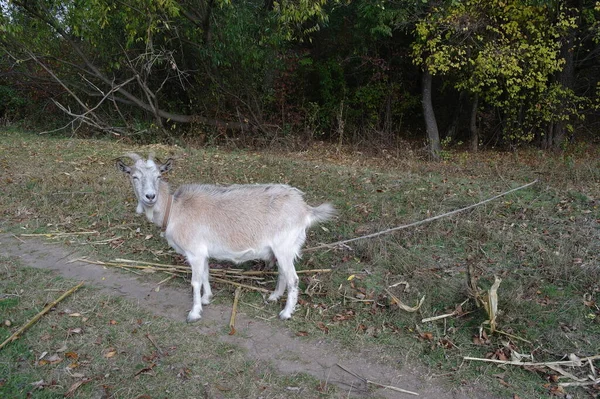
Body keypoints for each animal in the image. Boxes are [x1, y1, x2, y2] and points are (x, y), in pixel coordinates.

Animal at [117, 153, 332, 322]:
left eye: (159, 175)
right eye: (134, 176)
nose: (150, 196)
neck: (175, 210)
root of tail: (305, 209)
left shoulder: (194, 252)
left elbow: (195, 282)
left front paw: (194, 313)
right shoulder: (202, 252)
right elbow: (205, 274)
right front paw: (207, 298)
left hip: (285, 246)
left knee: (293, 279)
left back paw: (286, 313)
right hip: (282, 249)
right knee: (283, 274)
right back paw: (273, 297)